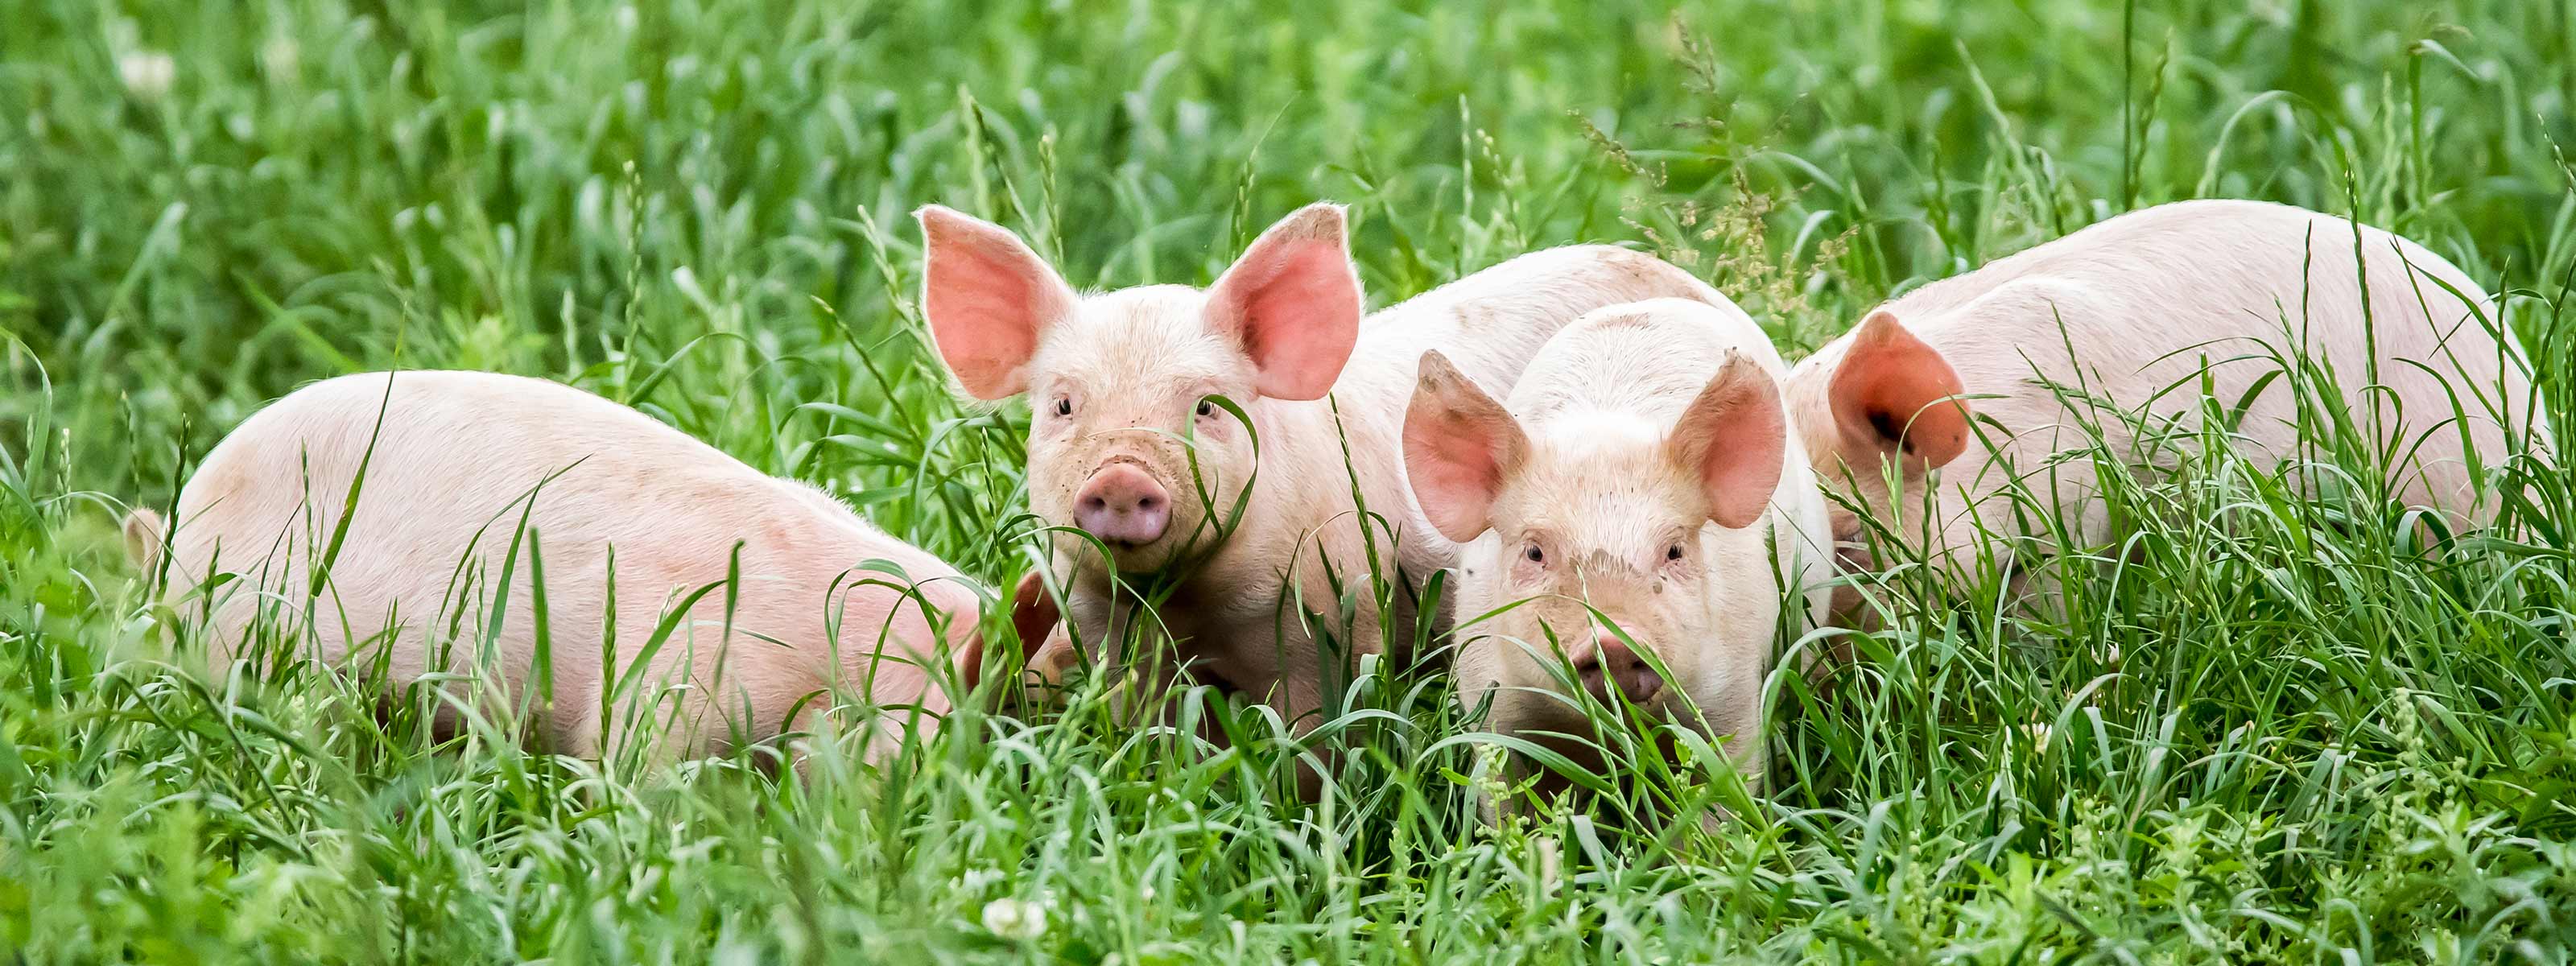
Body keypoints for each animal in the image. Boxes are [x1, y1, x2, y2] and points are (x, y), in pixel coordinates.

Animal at [917, 203, 1738, 728]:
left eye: (1207, 407)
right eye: (1062, 405)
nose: (1121, 477)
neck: (1186, 607)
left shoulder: (1330, 622)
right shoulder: (1109, 635)